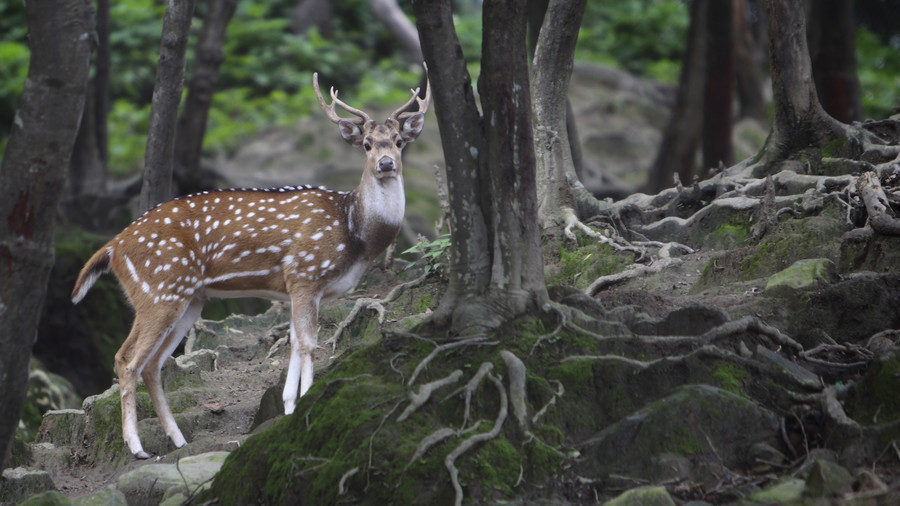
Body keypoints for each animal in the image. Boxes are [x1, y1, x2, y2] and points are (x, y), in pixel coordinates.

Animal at [71, 72, 430, 459]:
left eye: (398, 142)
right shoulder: (305, 274)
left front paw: (289, 405)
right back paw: (136, 447)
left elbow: (293, 340)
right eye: (366, 144)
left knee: (153, 364)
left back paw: (179, 439)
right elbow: (309, 343)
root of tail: (112, 246)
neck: (354, 233)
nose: (386, 163)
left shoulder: (300, 289)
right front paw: (306, 402)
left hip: (189, 300)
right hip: (159, 290)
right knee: (127, 359)